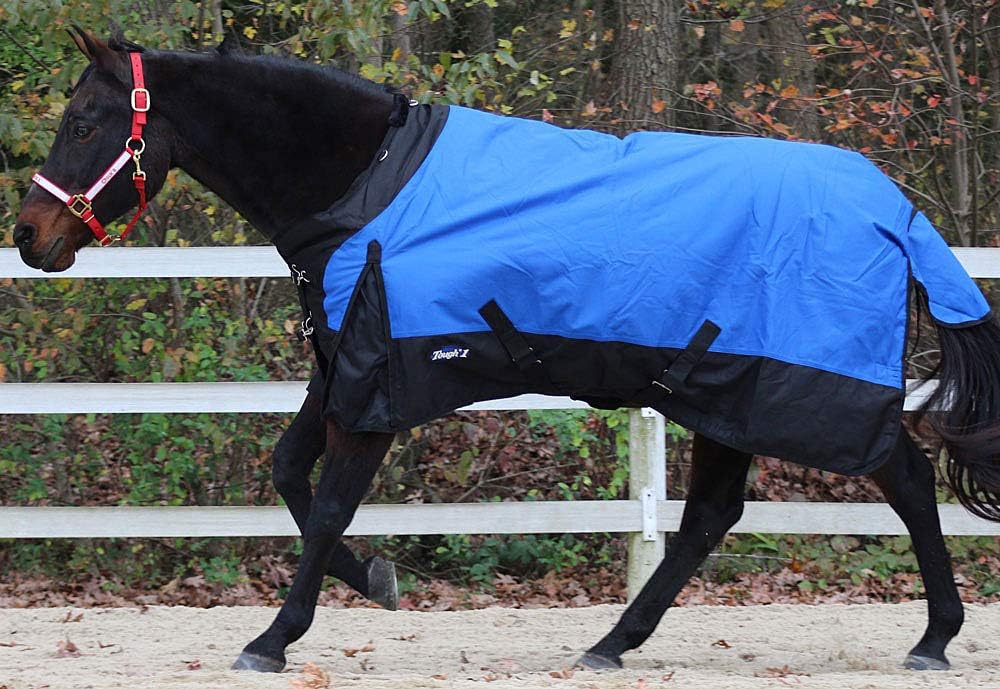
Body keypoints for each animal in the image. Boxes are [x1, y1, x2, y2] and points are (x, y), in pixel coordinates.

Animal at [13, 28, 1000, 675]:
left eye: (88, 119)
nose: (29, 236)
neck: (369, 183)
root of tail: (895, 207)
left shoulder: (377, 384)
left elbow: (326, 503)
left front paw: (273, 637)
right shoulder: (343, 365)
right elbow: (289, 473)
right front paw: (376, 579)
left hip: (796, 392)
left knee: (904, 477)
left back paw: (935, 636)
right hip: (725, 395)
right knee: (711, 517)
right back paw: (611, 643)